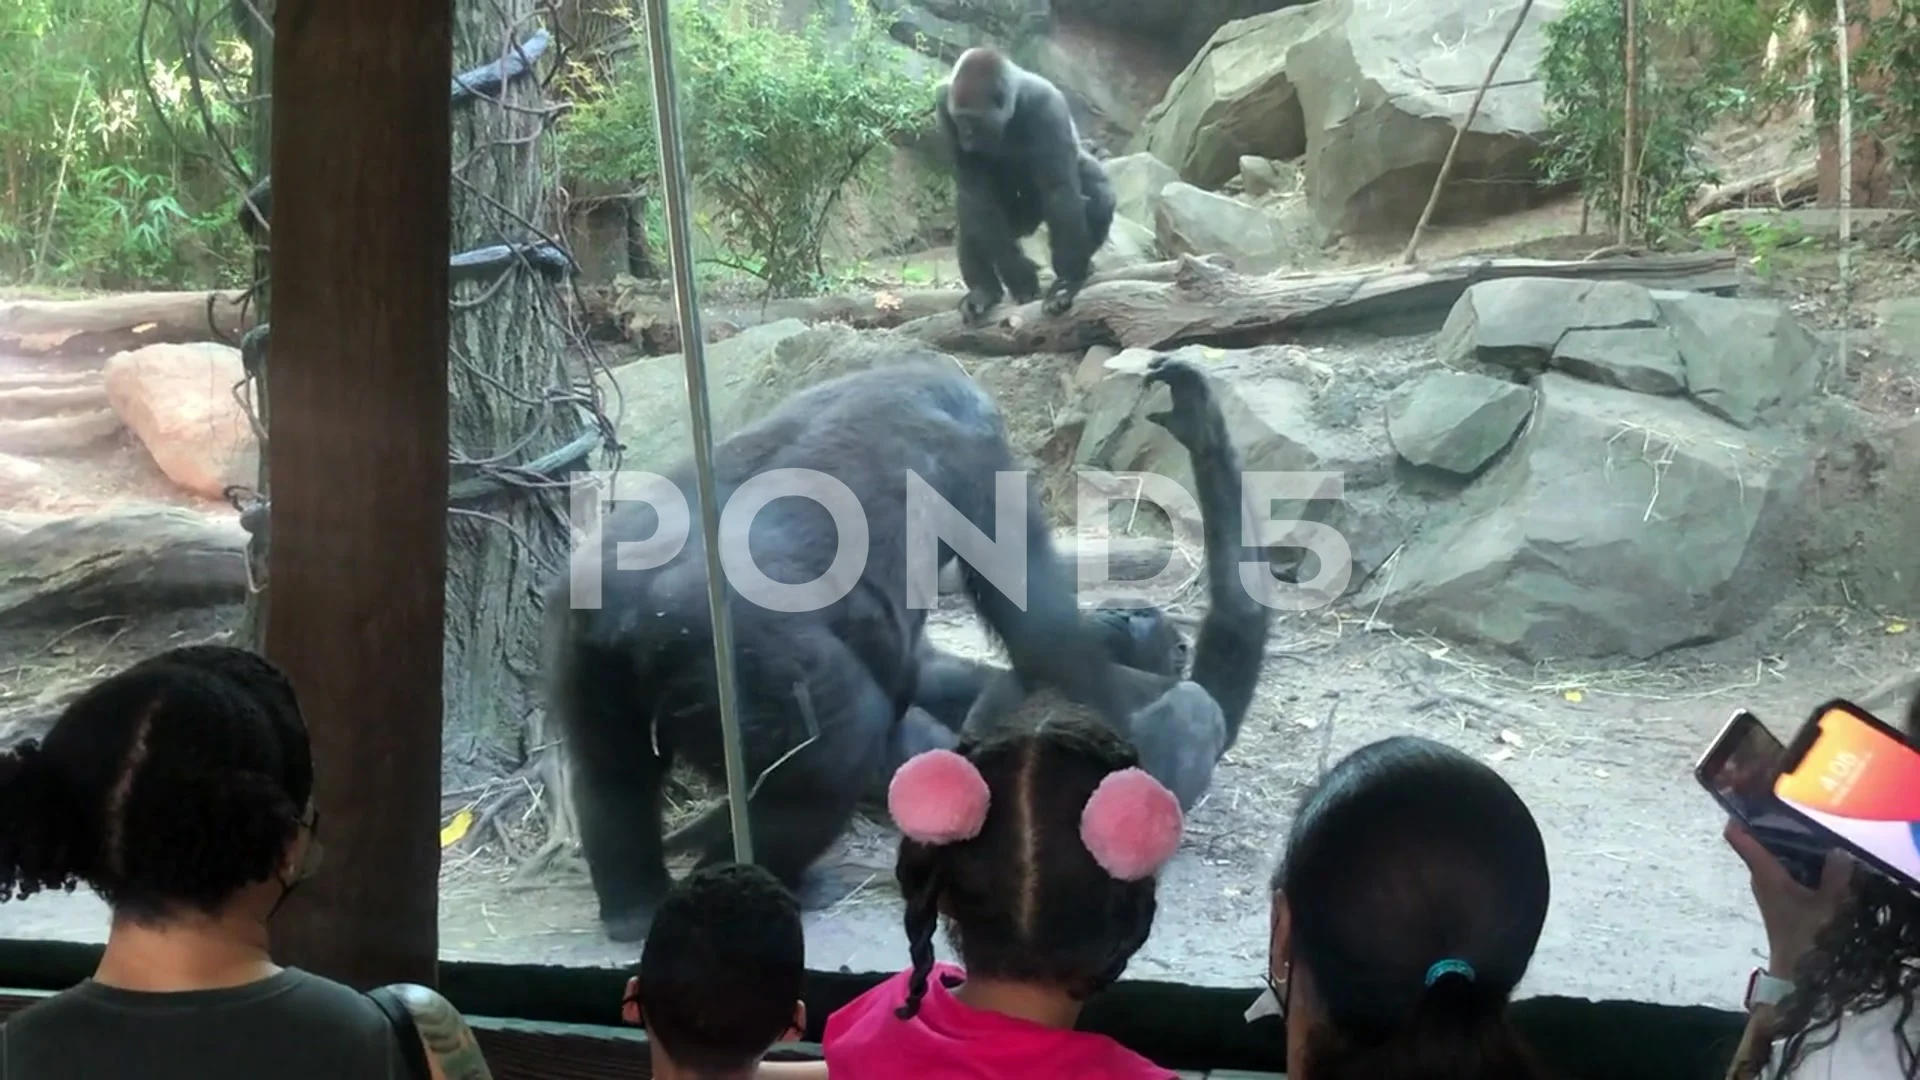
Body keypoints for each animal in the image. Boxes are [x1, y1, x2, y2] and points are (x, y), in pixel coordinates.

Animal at [549, 359, 1128, 933]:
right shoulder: (984, 461)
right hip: (739, 658)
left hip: (585, 642)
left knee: (611, 774)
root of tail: (632, 612)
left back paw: (634, 903)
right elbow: (1040, 624)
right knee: (838, 755)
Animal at [936, 47, 1121, 322]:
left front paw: (1066, 282)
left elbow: (1059, 190)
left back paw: (1083, 266)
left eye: (974, 122)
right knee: (971, 215)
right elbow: (975, 193)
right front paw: (1019, 275)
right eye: (959, 121)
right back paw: (985, 290)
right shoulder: (943, 105)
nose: (966, 137)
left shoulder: (1047, 106)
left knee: (1099, 197)